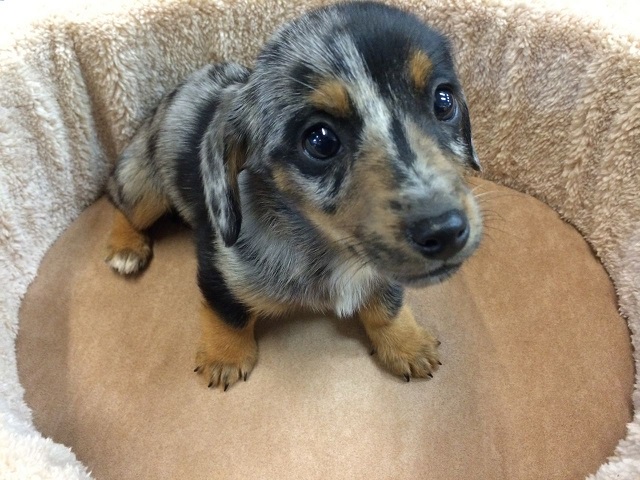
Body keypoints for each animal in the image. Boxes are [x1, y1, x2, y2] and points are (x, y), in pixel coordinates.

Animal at [107, 0, 482, 390]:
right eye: (320, 140)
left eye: (443, 101)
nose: (445, 231)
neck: (330, 248)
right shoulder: (220, 267)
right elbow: (227, 313)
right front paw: (225, 357)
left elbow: (387, 305)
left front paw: (407, 342)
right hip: (144, 187)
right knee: (118, 201)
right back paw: (125, 248)